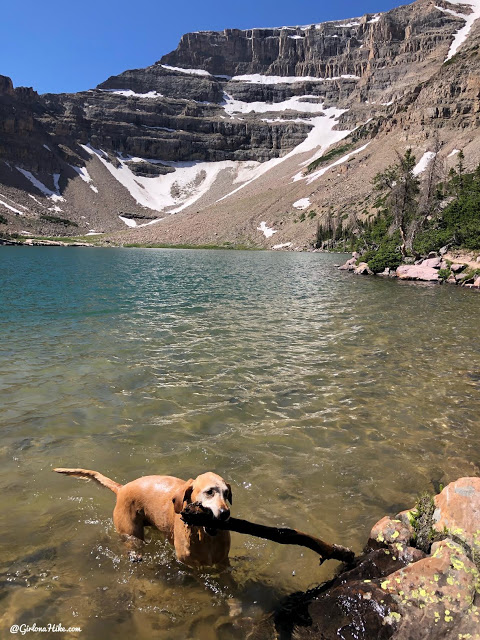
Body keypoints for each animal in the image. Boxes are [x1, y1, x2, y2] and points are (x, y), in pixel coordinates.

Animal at [53, 468, 232, 568]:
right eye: (209, 492)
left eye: (227, 493)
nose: (225, 513)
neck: (205, 537)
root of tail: (121, 488)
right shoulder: (190, 566)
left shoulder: (223, 563)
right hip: (131, 533)